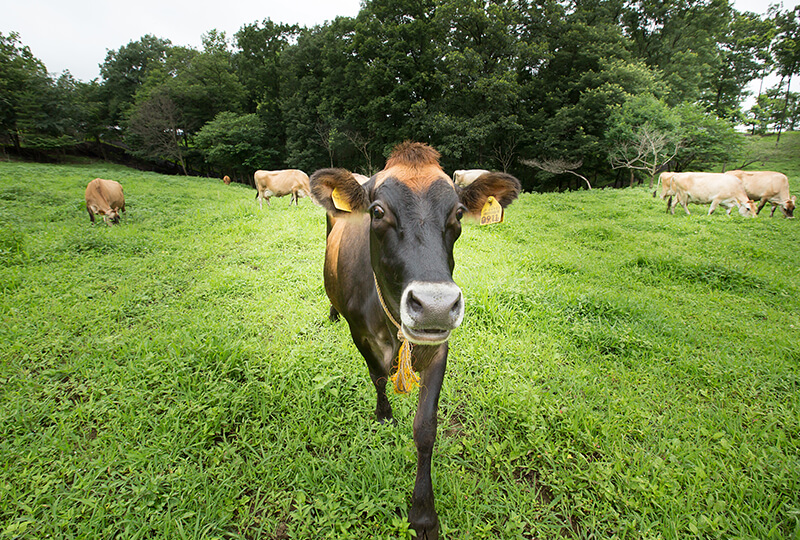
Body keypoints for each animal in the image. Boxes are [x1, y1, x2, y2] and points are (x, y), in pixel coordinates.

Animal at [310, 141, 520, 536]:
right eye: (377, 211)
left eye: (457, 213)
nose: (435, 305)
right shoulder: (360, 334)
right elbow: (378, 377)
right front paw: (384, 416)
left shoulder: (439, 346)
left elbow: (425, 428)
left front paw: (423, 514)